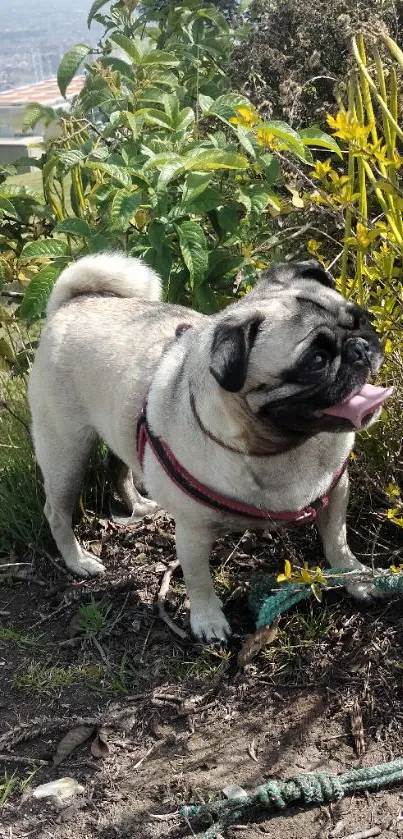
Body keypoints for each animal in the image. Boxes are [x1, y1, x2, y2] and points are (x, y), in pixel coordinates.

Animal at [27, 253, 392, 640]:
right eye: (316, 361)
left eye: (362, 319)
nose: (360, 347)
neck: (279, 450)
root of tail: (72, 303)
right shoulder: (192, 531)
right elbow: (198, 579)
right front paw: (207, 621)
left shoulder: (335, 492)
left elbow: (338, 544)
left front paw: (359, 580)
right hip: (66, 453)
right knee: (57, 510)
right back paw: (78, 561)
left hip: (117, 425)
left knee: (118, 467)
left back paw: (139, 506)